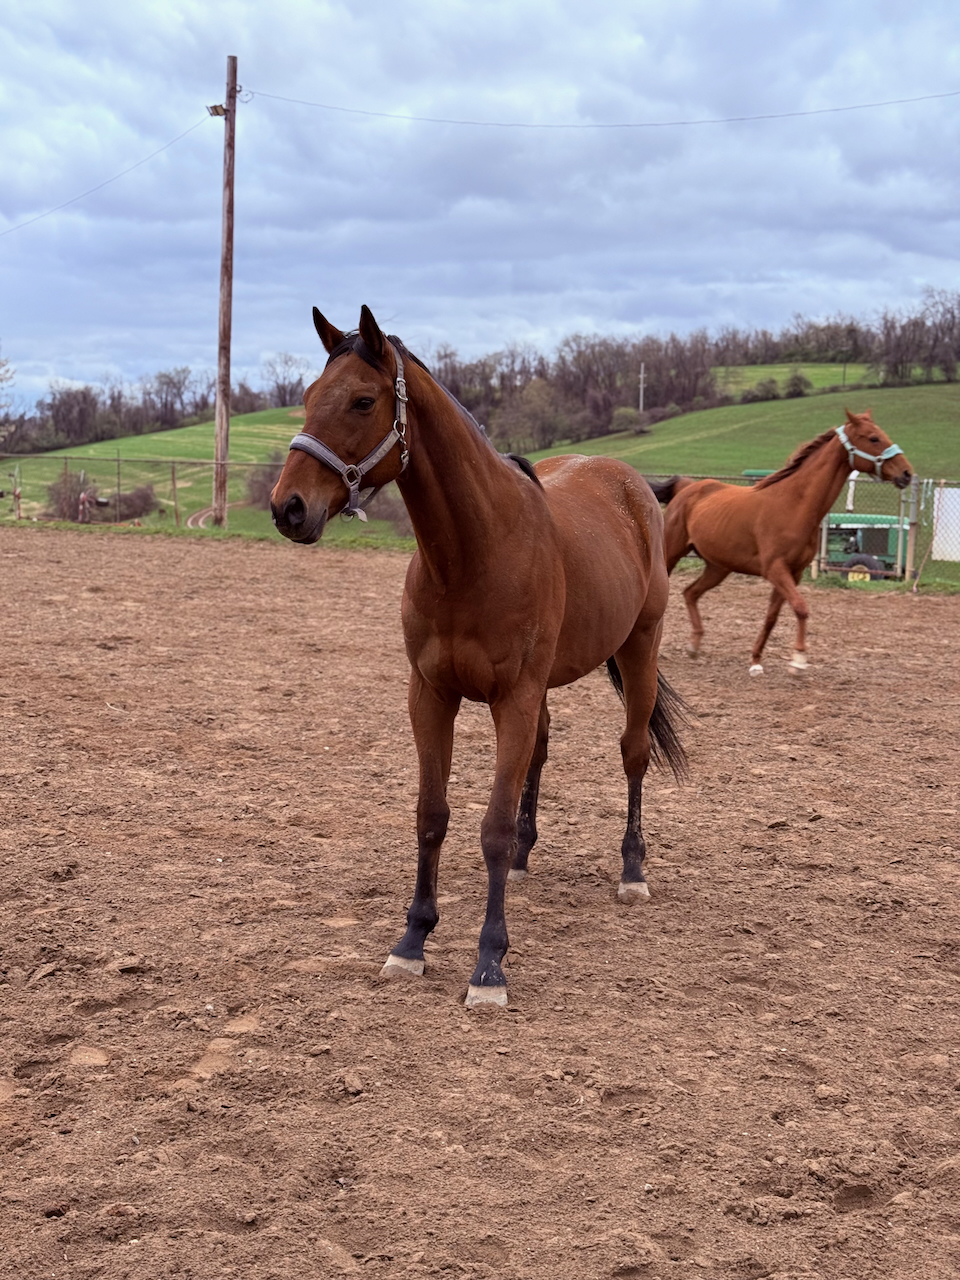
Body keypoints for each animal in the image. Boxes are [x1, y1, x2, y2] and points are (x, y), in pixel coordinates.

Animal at [270, 304, 687, 1008]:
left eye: (362, 401)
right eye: (306, 397)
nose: (287, 507)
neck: (475, 552)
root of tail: (634, 486)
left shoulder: (511, 697)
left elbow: (488, 826)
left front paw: (489, 964)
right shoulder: (431, 695)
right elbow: (432, 815)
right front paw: (412, 940)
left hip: (639, 648)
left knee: (632, 752)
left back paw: (632, 870)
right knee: (539, 755)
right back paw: (523, 859)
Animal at [650, 408, 913, 675]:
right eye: (873, 438)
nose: (907, 473)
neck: (794, 505)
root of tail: (687, 487)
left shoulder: (793, 572)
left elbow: (772, 617)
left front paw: (756, 662)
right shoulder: (775, 568)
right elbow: (801, 607)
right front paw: (798, 660)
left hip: (718, 567)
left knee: (690, 593)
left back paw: (694, 646)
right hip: (671, 554)